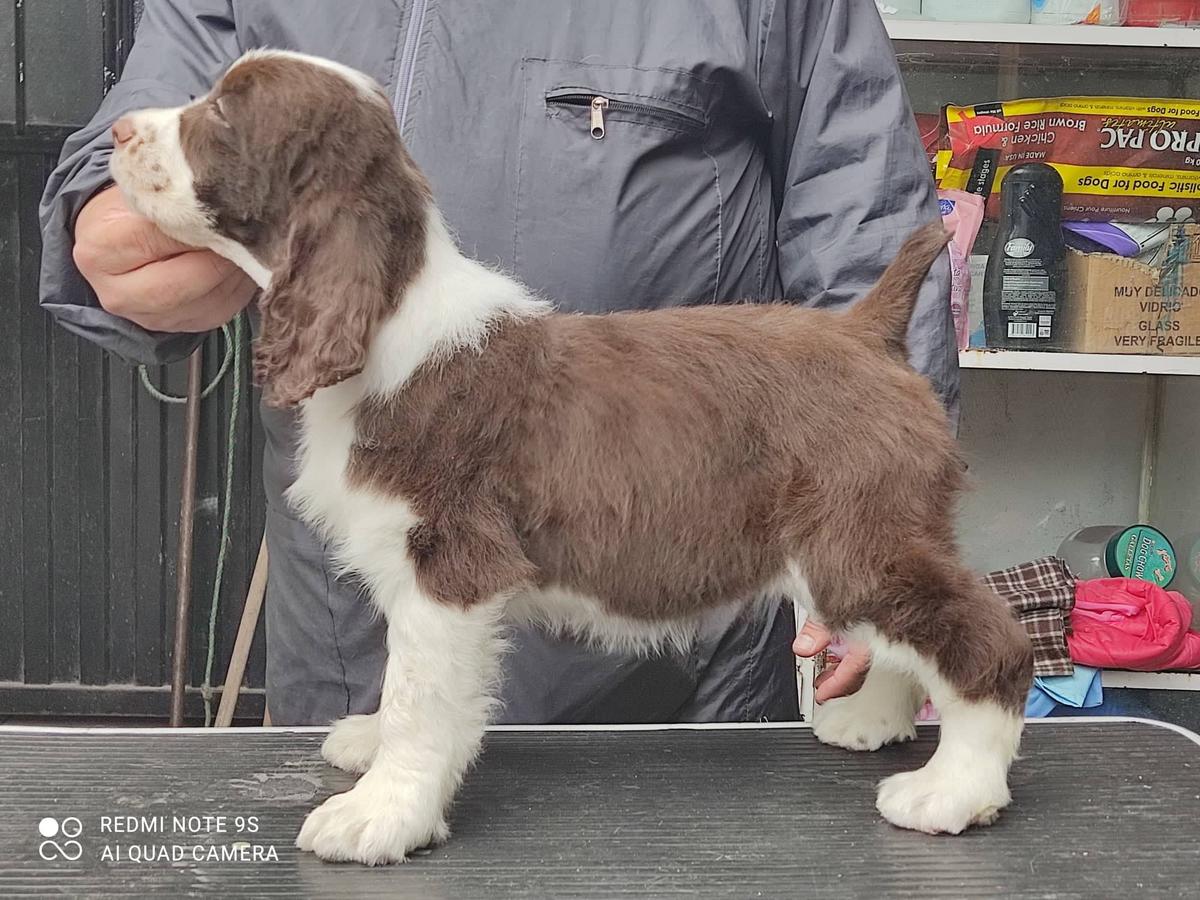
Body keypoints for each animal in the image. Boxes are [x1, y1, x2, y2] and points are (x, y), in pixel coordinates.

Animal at [108, 49, 1036, 868]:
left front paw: (382, 814)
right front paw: (373, 750)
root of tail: (866, 330)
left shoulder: (452, 565)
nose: (114, 131)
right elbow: (406, 679)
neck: (392, 321)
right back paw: (873, 719)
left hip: (854, 542)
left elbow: (418, 695)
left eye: (224, 113)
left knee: (987, 639)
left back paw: (953, 790)